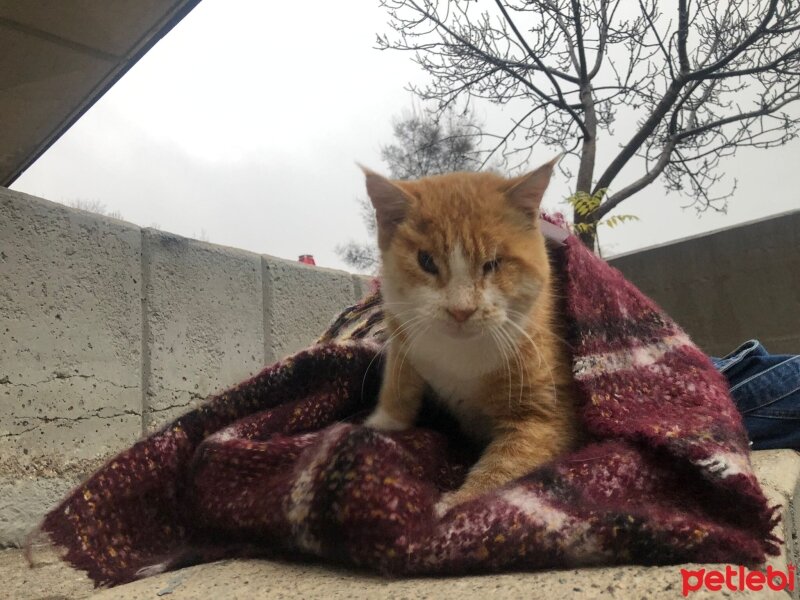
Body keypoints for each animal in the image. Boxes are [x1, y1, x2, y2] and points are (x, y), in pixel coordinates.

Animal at [364, 157, 580, 512]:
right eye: (425, 261)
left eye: (493, 263)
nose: (461, 310)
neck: (458, 354)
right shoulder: (402, 332)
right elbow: (398, 383)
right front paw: (381, 423)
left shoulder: (547, 415)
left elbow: (508, 461)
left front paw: (457, 502)